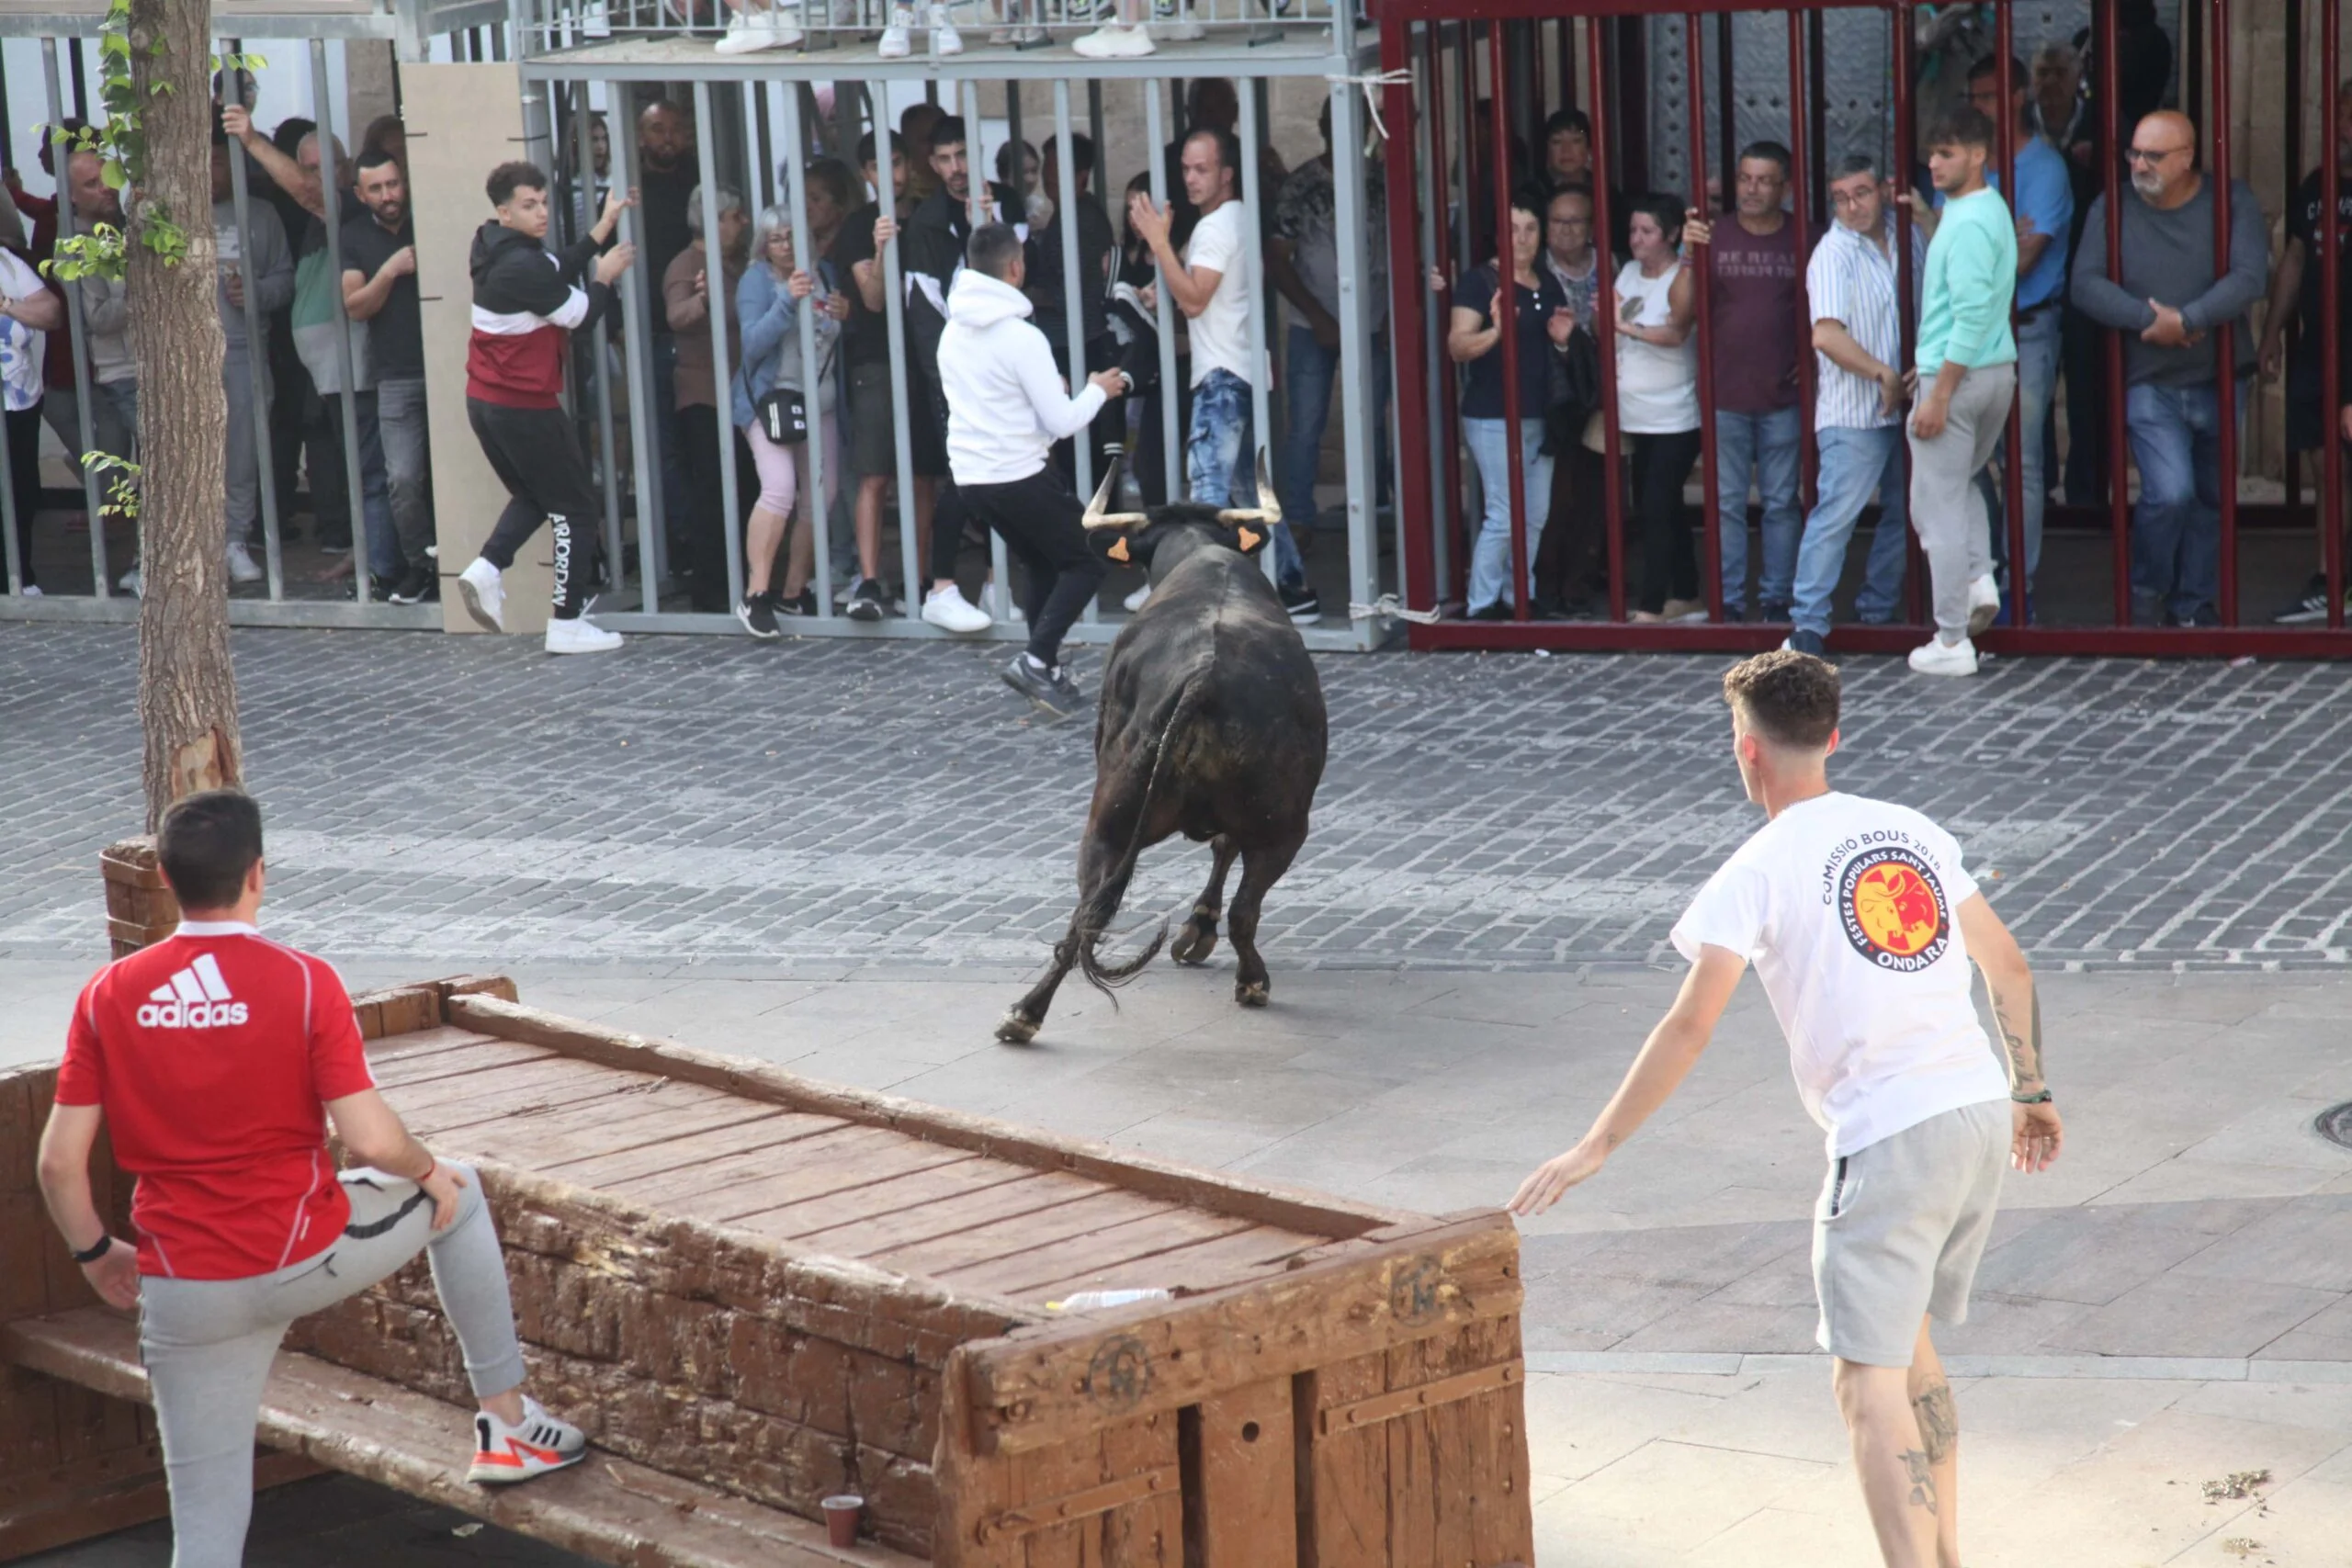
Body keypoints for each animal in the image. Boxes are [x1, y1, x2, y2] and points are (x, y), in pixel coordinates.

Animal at [992, 481, 1326, 1043]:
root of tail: (1204, 679)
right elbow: (1223, 849)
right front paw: (1198, 927)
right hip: (1280, 826)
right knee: (1244, 909)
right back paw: (1250, 979)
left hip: (1111, 825)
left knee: (1088, 913)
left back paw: (1025, 1013)